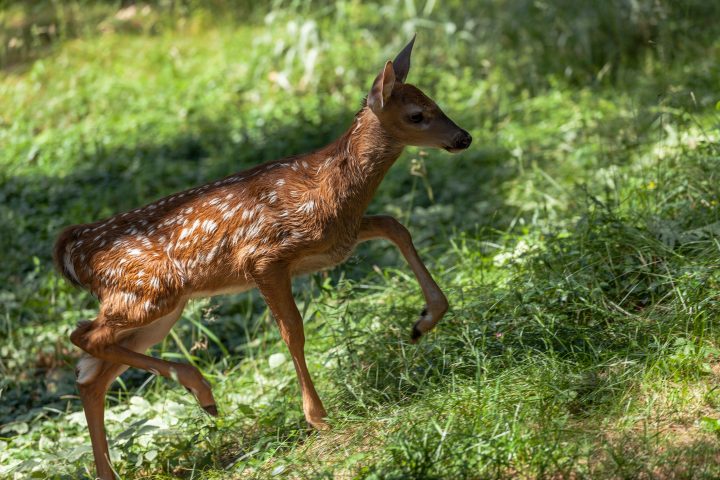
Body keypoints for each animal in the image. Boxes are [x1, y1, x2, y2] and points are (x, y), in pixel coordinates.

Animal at [54, 35, 471, 479]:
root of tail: (71, 248)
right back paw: (201, 390)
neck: (328, 186)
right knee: (83, 338)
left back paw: (115, 464)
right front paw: (318, 417)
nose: (464, 137)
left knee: (90, 374)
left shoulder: (337, 240)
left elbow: (395, 225)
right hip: (147, 295)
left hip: (158, 310)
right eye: (416, 115)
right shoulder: (264, 258)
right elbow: (293, 331)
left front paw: (424, 321)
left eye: (435, 102)